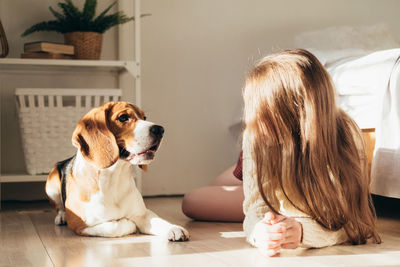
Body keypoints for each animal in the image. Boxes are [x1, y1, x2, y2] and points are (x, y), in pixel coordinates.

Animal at [46, 101, 190, 242]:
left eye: (144, 118)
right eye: (123, 117)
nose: (160, 129)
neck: (114, 178)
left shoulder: (143, 213)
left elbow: (158, 221)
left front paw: (173, 228)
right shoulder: (80, 225)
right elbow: (115, 226)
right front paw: (129, 224)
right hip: (51, 184)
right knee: (59, 207)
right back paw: (61, 216)